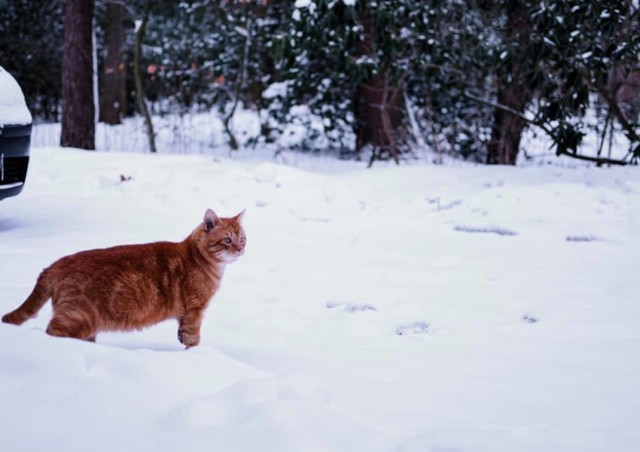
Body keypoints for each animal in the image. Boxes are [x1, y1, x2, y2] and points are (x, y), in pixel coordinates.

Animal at [0, 207, 245, 348]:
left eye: (243, 238)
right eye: (227, 240)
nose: (241, 249)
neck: (199, 258)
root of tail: (55, 264)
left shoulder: (185, 316)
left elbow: (182, 335)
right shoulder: (194, 310)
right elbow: (193, 339)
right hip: (78, 317)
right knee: (53, 331)